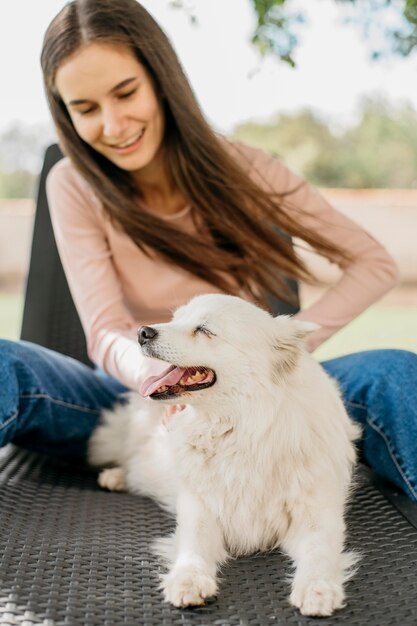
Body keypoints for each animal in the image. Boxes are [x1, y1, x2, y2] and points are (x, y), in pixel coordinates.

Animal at [88, 294, 360, 616]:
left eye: (204, 330)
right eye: (175, 319)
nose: (142, 332)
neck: (240, 431)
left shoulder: (317, 516)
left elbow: (319, 554)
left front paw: (317, 589)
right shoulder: (199, 510)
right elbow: (192, 550)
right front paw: (188, 581)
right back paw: (115, 476)